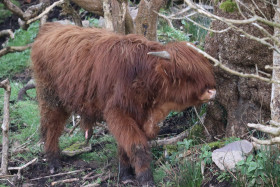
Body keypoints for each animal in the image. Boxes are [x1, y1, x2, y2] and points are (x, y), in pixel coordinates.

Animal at [31, 22, 217, 186]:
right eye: (187, 75)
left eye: (205, 68)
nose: (212, 91)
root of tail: (50, 28)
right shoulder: (118, 112)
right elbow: (136, 145)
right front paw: (145, 178)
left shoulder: (136, 116)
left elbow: (124, 145)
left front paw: (126, 174)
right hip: (50, 97)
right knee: (51, 127)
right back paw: (53, 163)